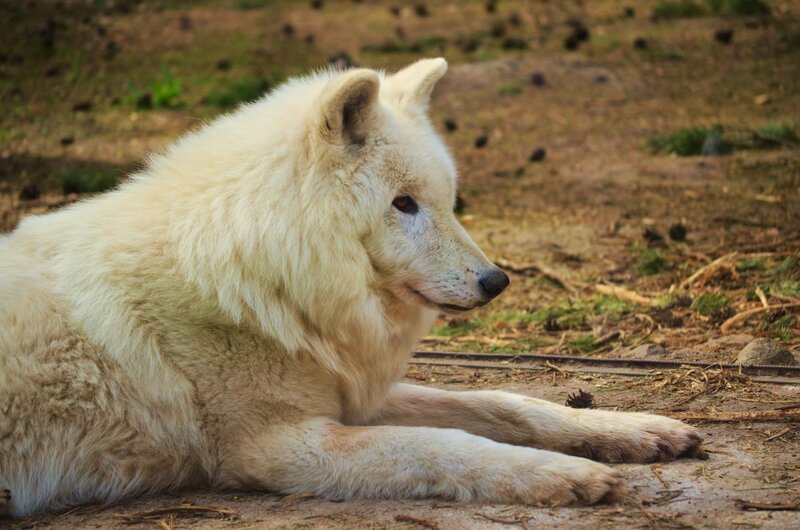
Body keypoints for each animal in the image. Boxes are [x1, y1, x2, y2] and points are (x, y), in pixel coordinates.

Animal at [0, 58, 703, 518]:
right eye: (403, 205)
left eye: (445, 201)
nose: (497, 281)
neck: (258, 274)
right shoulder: (278, 447)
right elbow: (441, 445)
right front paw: (564, 474)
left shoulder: (351, 396)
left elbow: (506, 403)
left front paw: (633, 431)